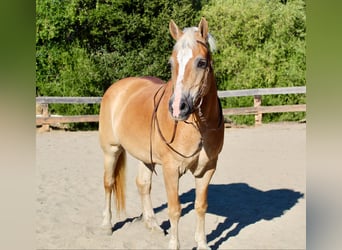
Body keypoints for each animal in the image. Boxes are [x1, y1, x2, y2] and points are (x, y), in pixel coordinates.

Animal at [98, 16, 224, 249]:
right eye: (171, 63)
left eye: (201, 63)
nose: (177, 108)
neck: (198, 128)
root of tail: (117, 87)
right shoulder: (171, 169)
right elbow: (175, 210)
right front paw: (174, 244)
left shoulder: (207, 170)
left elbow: (201, 206)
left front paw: (202, 243)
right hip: (111, 150)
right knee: (109, 183)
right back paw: (106, 225)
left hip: (145, 156)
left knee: (143, 184)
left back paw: (152, 224)